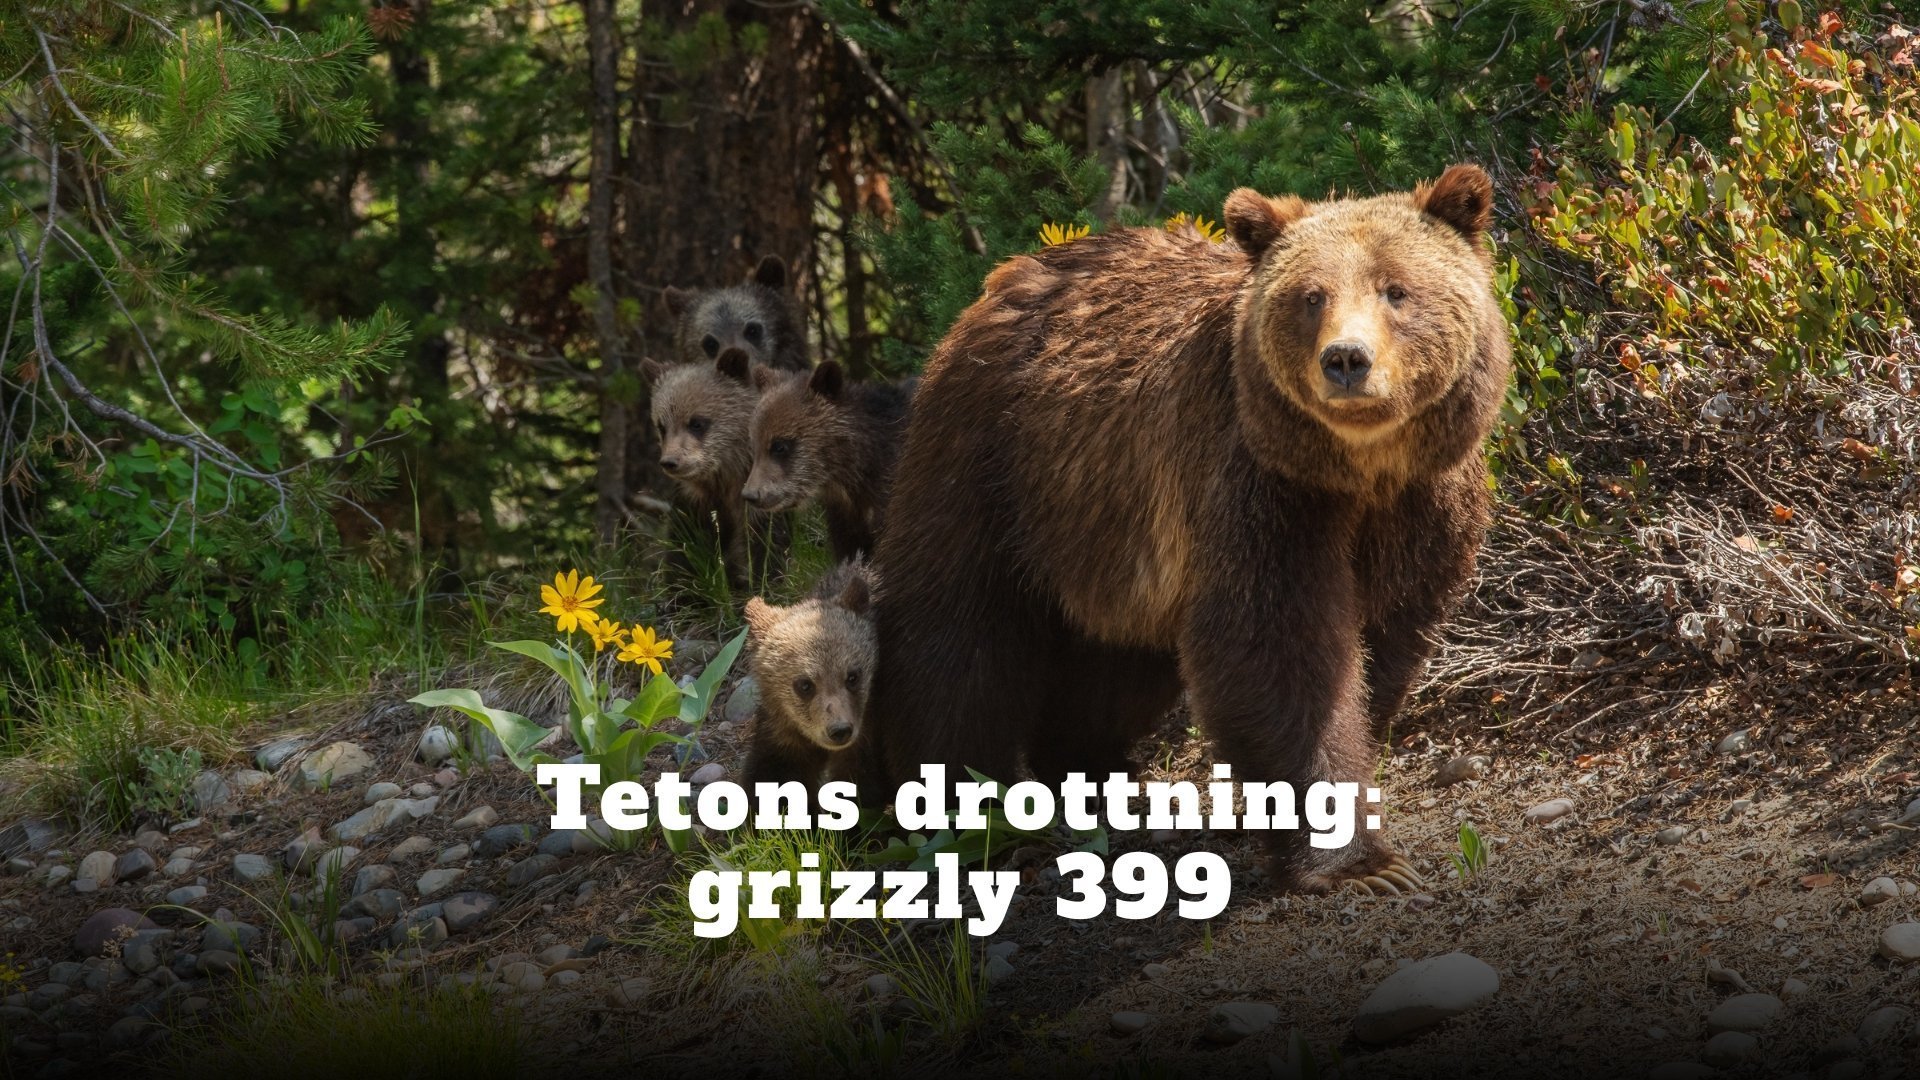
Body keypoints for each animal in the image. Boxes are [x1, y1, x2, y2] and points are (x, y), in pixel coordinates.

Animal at [865, 165, 1510, 896]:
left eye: (1396, 289)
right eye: (1310, 296)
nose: (1347, 360)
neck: (1359, 469)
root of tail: (1004, 279)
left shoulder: (1421, 505)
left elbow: (1385, 639)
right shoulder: (1258, 487)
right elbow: (1279, 649)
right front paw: (1360, 864)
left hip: (1108, 530)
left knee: (1114, 666)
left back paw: (1097, 776)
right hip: (993, 463)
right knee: (958, 633)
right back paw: (968, 809)